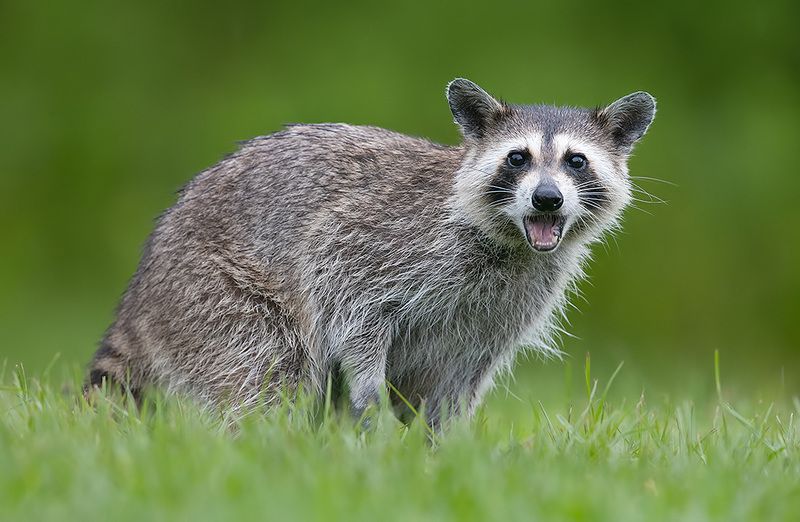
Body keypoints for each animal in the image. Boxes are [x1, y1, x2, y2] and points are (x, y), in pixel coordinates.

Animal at [87, 79, 655, 425]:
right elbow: (346, 298)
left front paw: (442, 448)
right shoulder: (380, 239)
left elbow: (460, 378)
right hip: (209, 293)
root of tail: (142, 291)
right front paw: (369, 391)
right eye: (518, 158)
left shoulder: (502, 309)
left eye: (576, 161)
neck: (513, 242)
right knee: (268, 366)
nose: (547, 198)